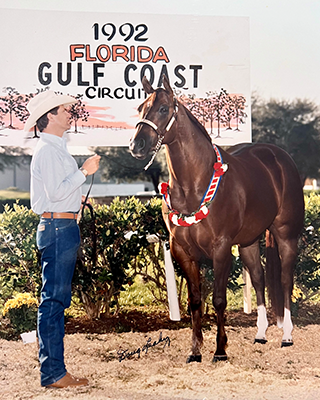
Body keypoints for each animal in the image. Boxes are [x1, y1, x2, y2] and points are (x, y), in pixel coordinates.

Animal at [129, 75, 304, 362]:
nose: (136, 145)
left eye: (163, 108)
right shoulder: (183, 252)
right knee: (259, 278)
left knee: (285, 279)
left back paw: (287, 336)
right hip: (248, 243)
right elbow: (195, 301)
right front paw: (195, 351)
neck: (193, 185)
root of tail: (279, 158)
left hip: (286, 235)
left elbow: (219, 299)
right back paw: (261, 333)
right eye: (140, 108)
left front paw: (220, 350)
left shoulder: (221, 249)